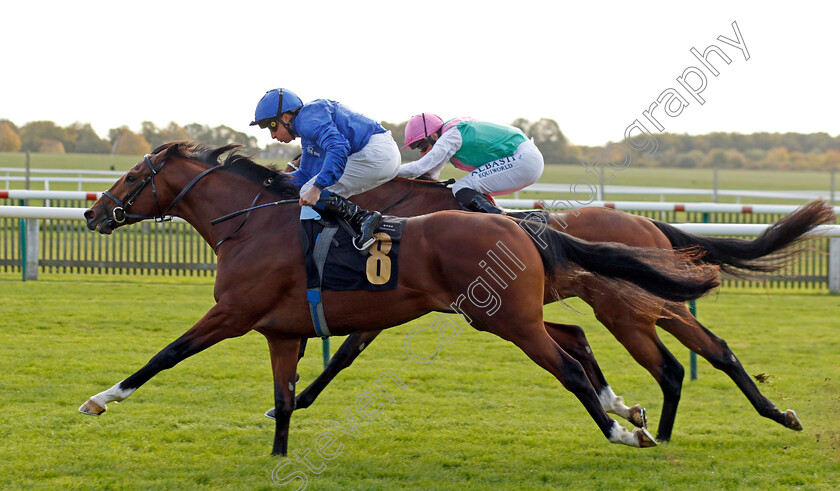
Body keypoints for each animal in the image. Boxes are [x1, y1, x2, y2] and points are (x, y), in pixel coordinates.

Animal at [79, 140, 720, 456]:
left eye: (133, 174)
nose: (92, 213)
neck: (252, 223)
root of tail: (520, 229)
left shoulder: (232, 314)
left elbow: (166, 354)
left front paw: (100, 399)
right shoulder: (282, 331)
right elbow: (286, 395)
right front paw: (280, 450)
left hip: (517, 319)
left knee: (570, 366)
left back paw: (623, 431)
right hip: (505, 315)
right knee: (576, 340)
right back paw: (628, 413)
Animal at [284, 176, 832, 442]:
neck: (409, 217)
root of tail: (649, 223)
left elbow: (345, 353)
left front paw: (295, 400)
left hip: (630, 309)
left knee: (685, 361)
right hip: (640, 306)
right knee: (700, 356)